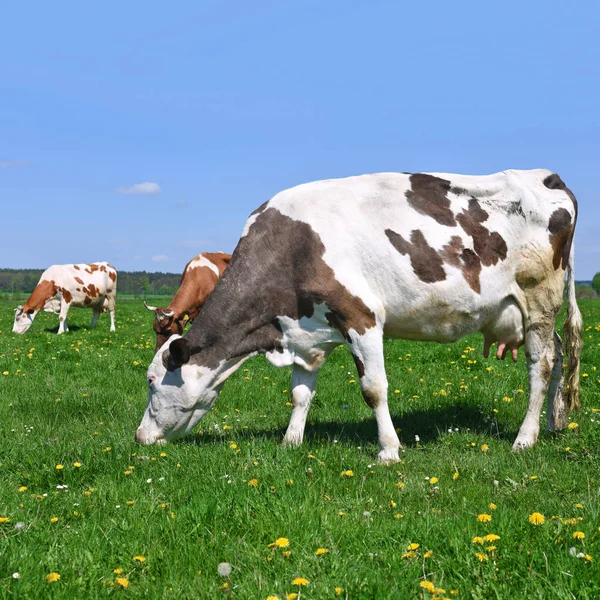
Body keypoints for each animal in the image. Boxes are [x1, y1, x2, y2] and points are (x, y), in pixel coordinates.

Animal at [136, 170, 580, 464]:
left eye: (152, 381)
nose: (140, 437)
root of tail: (546, 176)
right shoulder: (307, 334)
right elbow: (300, 392)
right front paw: (291, 441)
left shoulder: (361, 318)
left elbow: (374, 389)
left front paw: (388, 450)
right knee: (560, 355)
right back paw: (555, 423)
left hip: (539, 299)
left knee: (540, 365)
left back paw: (525, 438)